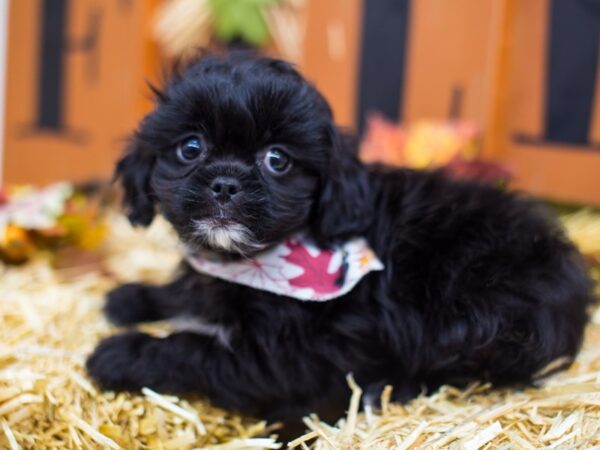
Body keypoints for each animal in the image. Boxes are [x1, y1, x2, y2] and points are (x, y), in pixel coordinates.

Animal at [85, 52, 596, 422]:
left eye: (277, 159)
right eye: (190, 147)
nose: (226, 184)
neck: (257, 261)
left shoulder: (296, 355)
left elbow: (197, 348)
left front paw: (121, 354)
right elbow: (191, 293)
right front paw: (133, 299)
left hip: (472, 312)